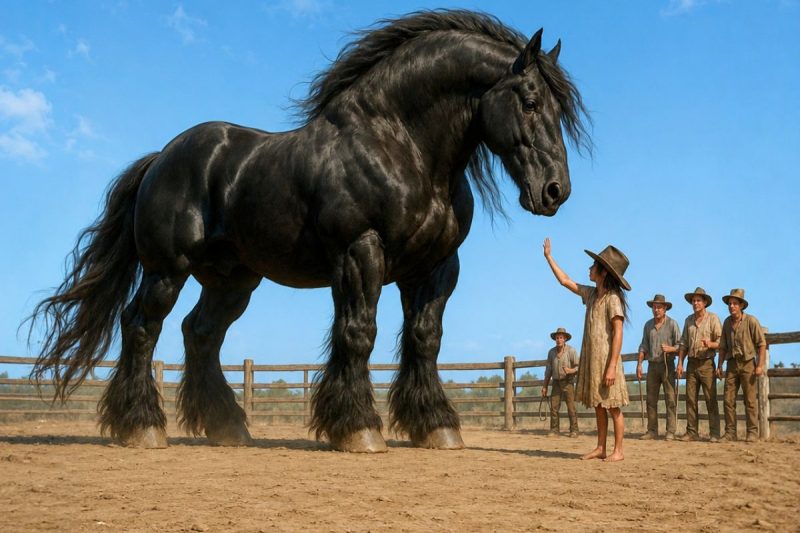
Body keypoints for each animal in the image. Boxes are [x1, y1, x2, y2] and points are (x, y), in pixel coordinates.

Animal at [28, 10, 589, 452]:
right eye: (531, 100)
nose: (556, 191)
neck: (399, 145)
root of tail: (162, 158)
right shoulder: (360, 252)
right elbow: (359, 333)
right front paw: (358, 429)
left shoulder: (436, 267)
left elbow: (425, 339)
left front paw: (435, 426)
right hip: (167, 270)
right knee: (142, 327)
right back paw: (142, 427)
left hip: (232, 280)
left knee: (200, 334)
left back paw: (227, 427)